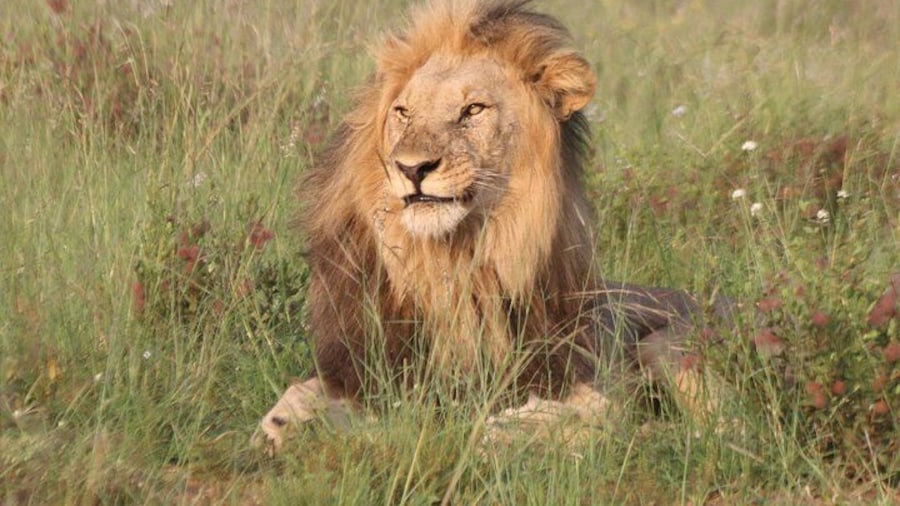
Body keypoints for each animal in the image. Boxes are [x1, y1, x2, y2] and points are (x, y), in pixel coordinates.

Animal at [260, 0, 733, 452]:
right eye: (403, 112)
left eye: (473, 109)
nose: (411, 168)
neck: (450, 262)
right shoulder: (367, 366)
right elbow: (300, 398)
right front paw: (290, 425)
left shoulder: (584, 366)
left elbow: (600, 412)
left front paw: (509, 430)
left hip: (672, 342)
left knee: (724, 430)